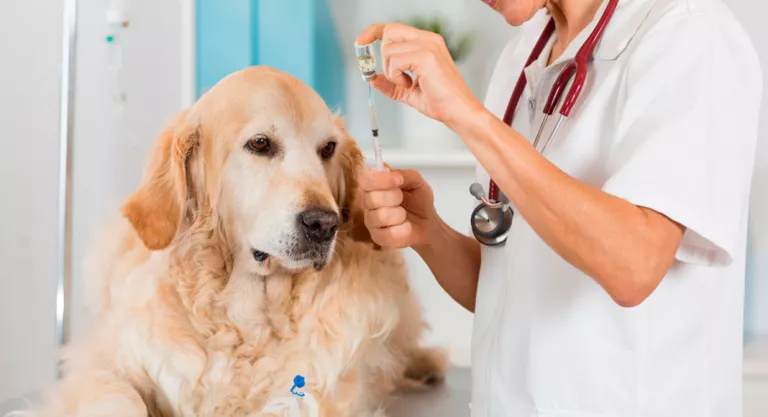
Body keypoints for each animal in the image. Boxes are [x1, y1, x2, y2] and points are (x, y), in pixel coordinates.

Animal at [31, 66, 444, 414]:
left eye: (328, 149)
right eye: (260, 144)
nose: (325, 224)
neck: (248, 314)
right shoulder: (97, 366)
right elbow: (120, 398)